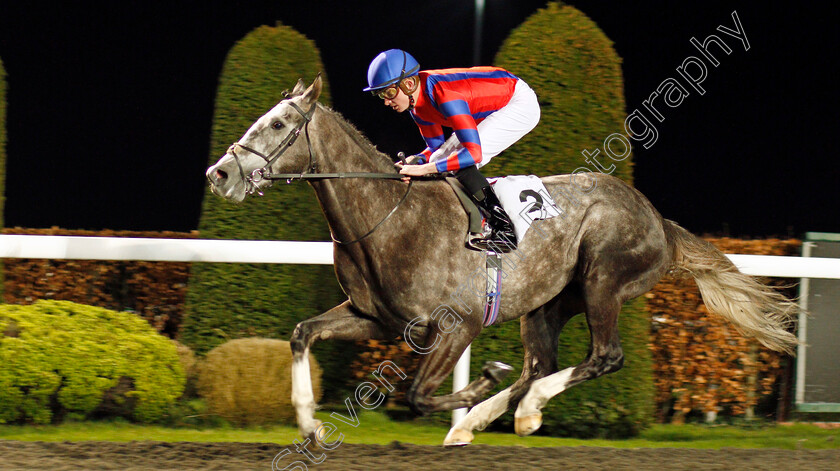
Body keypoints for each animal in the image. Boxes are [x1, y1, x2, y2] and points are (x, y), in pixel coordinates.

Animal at [207, 76, 796, 446]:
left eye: (279, 124)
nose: (220, 173)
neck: (388, 215)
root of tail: (660, 222)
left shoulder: (457, 324)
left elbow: (418, 394)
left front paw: (476, 385)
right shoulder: (374, 317)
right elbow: (302, 333)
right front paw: (309, 425)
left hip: (603, 279)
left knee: (603, 357)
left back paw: (526, 410)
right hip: (547, 304)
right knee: (541, 363)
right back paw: (480, 420)